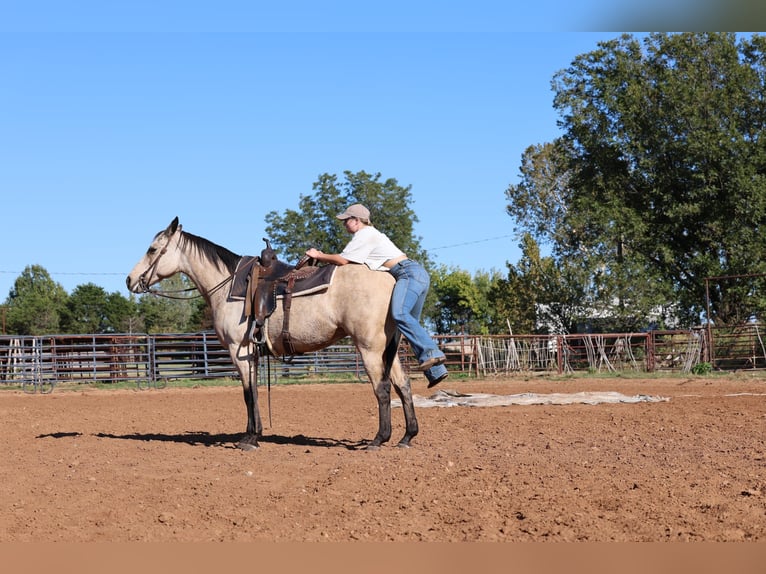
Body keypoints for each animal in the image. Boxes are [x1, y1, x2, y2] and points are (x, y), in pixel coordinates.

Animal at [126, 217, 418, 451]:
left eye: (152, 249)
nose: (130, 280)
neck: (226, 285)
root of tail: (391, 278)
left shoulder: (239, 351)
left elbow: (248, 393)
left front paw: (249, 439)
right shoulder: (251, 353)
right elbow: (253, 391)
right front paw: (255, 434)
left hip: (370, 348)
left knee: (382, 388)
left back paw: (379, 439)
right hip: (388, 349)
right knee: (402, 383)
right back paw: (407, 437)